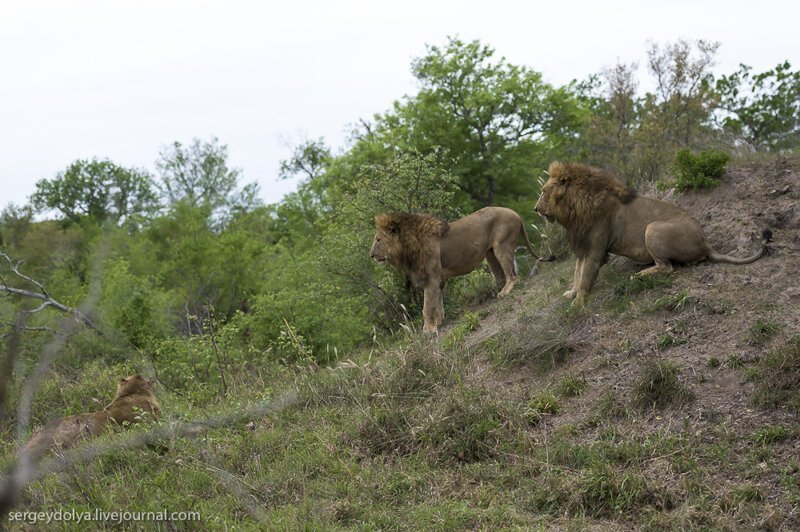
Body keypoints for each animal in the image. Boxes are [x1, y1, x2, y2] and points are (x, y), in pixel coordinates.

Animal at [370, 205, 552, 332]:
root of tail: (516, 214)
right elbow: (438, 302)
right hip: (490, 254)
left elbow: (427, 306)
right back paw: (497, 292)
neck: (406, 248)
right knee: (501, 276)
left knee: (513, 275)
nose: (371, 255)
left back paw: (505, 291)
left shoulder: (431, 277)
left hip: (502, 245)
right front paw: (439, 322)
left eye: (378, 240)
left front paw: (428, 329)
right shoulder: (438, 279)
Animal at [536, 160, 772, 306]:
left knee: (667, 268)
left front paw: (578, 303)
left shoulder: (595, 249)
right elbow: (577, 274)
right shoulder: (582, 247)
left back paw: (640, 275)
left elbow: (585, 277)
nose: (535, 209)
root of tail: (707, 243)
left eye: (544, 192)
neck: (573, 209)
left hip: (653, 228)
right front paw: (572, 293)